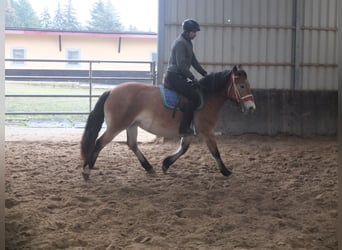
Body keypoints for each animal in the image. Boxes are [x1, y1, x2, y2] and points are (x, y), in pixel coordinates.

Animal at [81, 63, 255, 179]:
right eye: (241, 86)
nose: (251, 107)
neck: (207, 98)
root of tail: (111, 91)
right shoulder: (207, 131)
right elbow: (215, 152)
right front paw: (226, 171)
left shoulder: (189, 133)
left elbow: (183, 149)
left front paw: (165, 164)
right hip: (117, 126)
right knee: (99, 142)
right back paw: (87, 169)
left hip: (132, 125)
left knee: (132, 144)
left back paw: (148, 167)